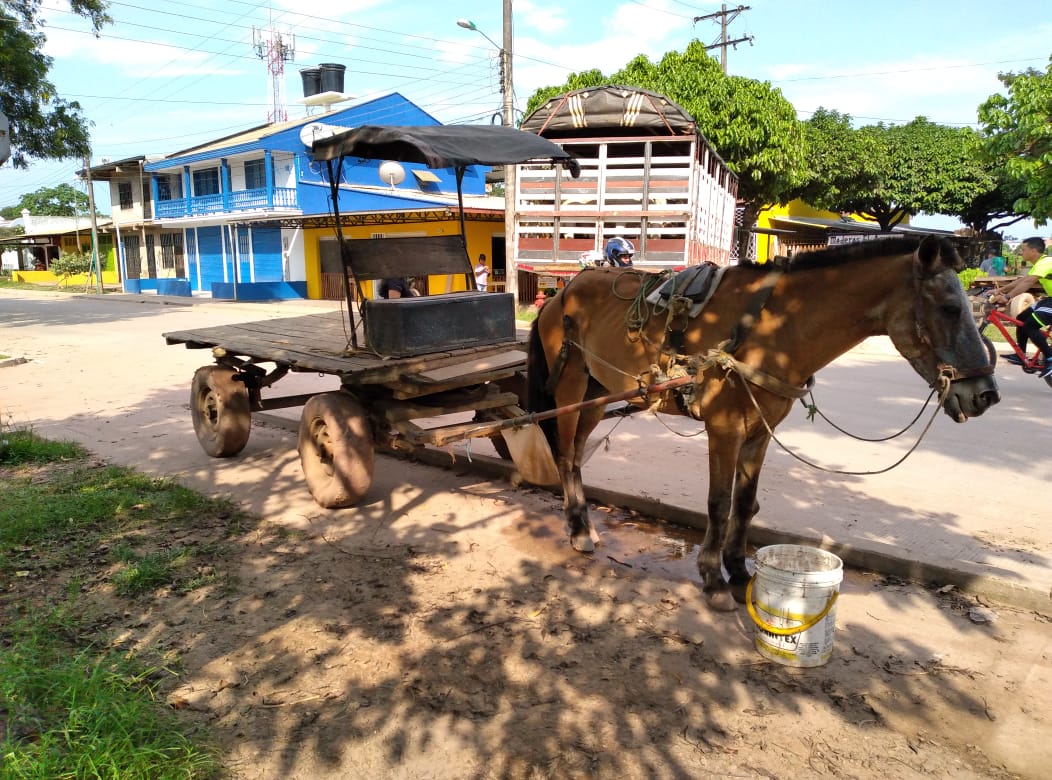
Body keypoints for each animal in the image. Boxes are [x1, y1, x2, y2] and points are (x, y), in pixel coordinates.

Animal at [530, 234, 997, 610]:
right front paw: (712, 578)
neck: (774, 327)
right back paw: (578, 529)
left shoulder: (760, 430)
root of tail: (559, 294)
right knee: (566, 455)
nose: (986, 395)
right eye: (951, 308)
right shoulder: (724, 427)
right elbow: (719, 504)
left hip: (597, 392)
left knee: (575, 454)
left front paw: (739, 571)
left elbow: (745, 502)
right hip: (570, 388)